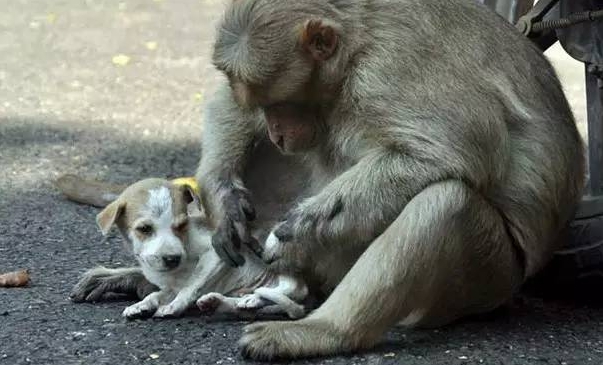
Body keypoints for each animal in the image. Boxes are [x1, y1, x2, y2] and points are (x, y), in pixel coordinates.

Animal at [71, 176, 310, 318]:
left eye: (181, 225)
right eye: (145, 229)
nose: (172, 258)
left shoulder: (215, 254)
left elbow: (191, 285)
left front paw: (175, 306)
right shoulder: (168, 284)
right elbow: (157, 294)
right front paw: (143, 305)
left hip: (276, 255)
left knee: (293, 289)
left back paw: (254, 298)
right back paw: (224, 302)